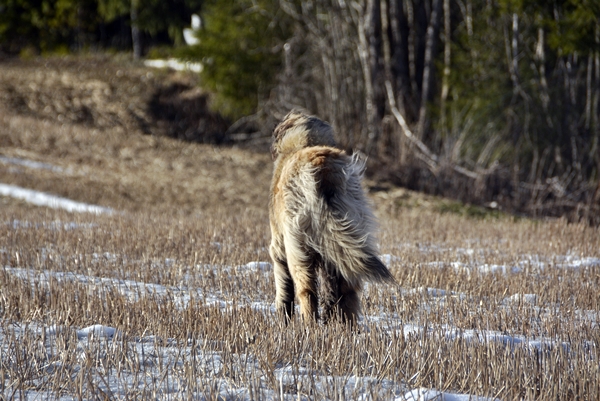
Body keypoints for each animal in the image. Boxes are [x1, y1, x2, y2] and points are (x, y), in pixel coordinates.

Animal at [268, 110, 394, 324]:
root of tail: (323, 170)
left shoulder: (279, 244)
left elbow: (284, 285)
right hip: (345, 240)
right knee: (348, 291)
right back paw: (346, 326)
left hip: (297, 246)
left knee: (307, 291)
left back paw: (309, 325)